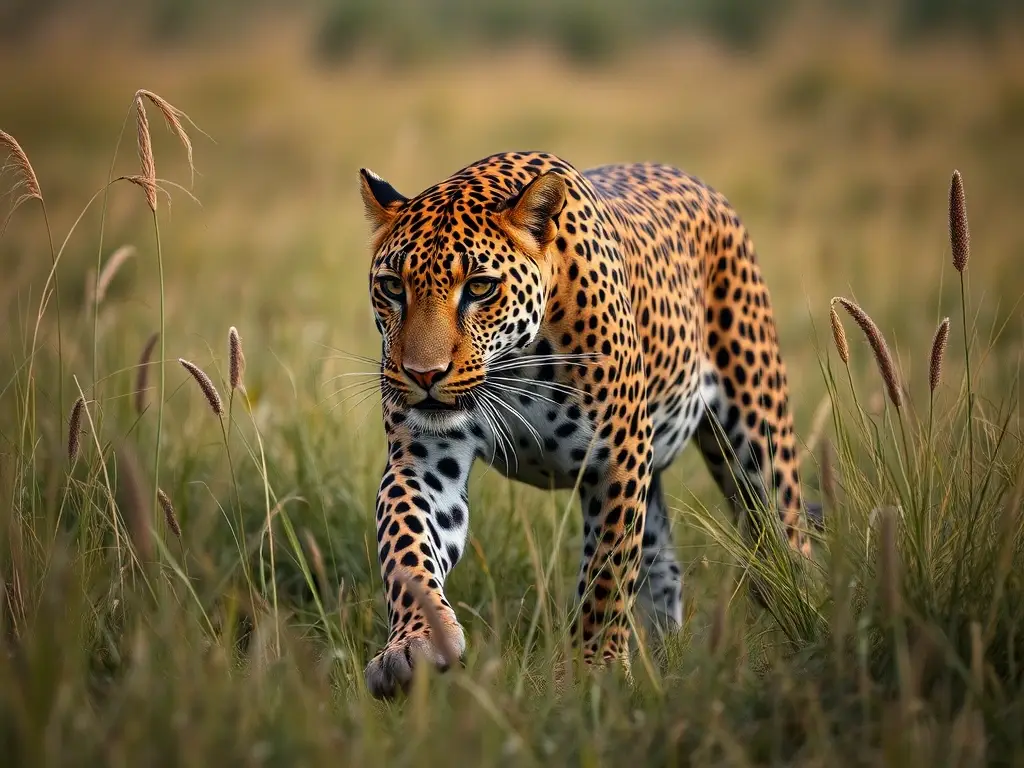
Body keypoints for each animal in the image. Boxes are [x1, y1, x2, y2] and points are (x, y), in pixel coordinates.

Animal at [356, 150, 818, 699]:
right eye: (392, 287)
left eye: (480, 288)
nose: (423, 375)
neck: (517, 365)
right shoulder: (425, 456)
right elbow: (405, 544)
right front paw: (415, 643)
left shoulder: (617, 458)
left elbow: (606, 574)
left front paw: (594, 673)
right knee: (663, 567)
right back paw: (664, 658)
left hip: (757, 440)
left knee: (783, 543)